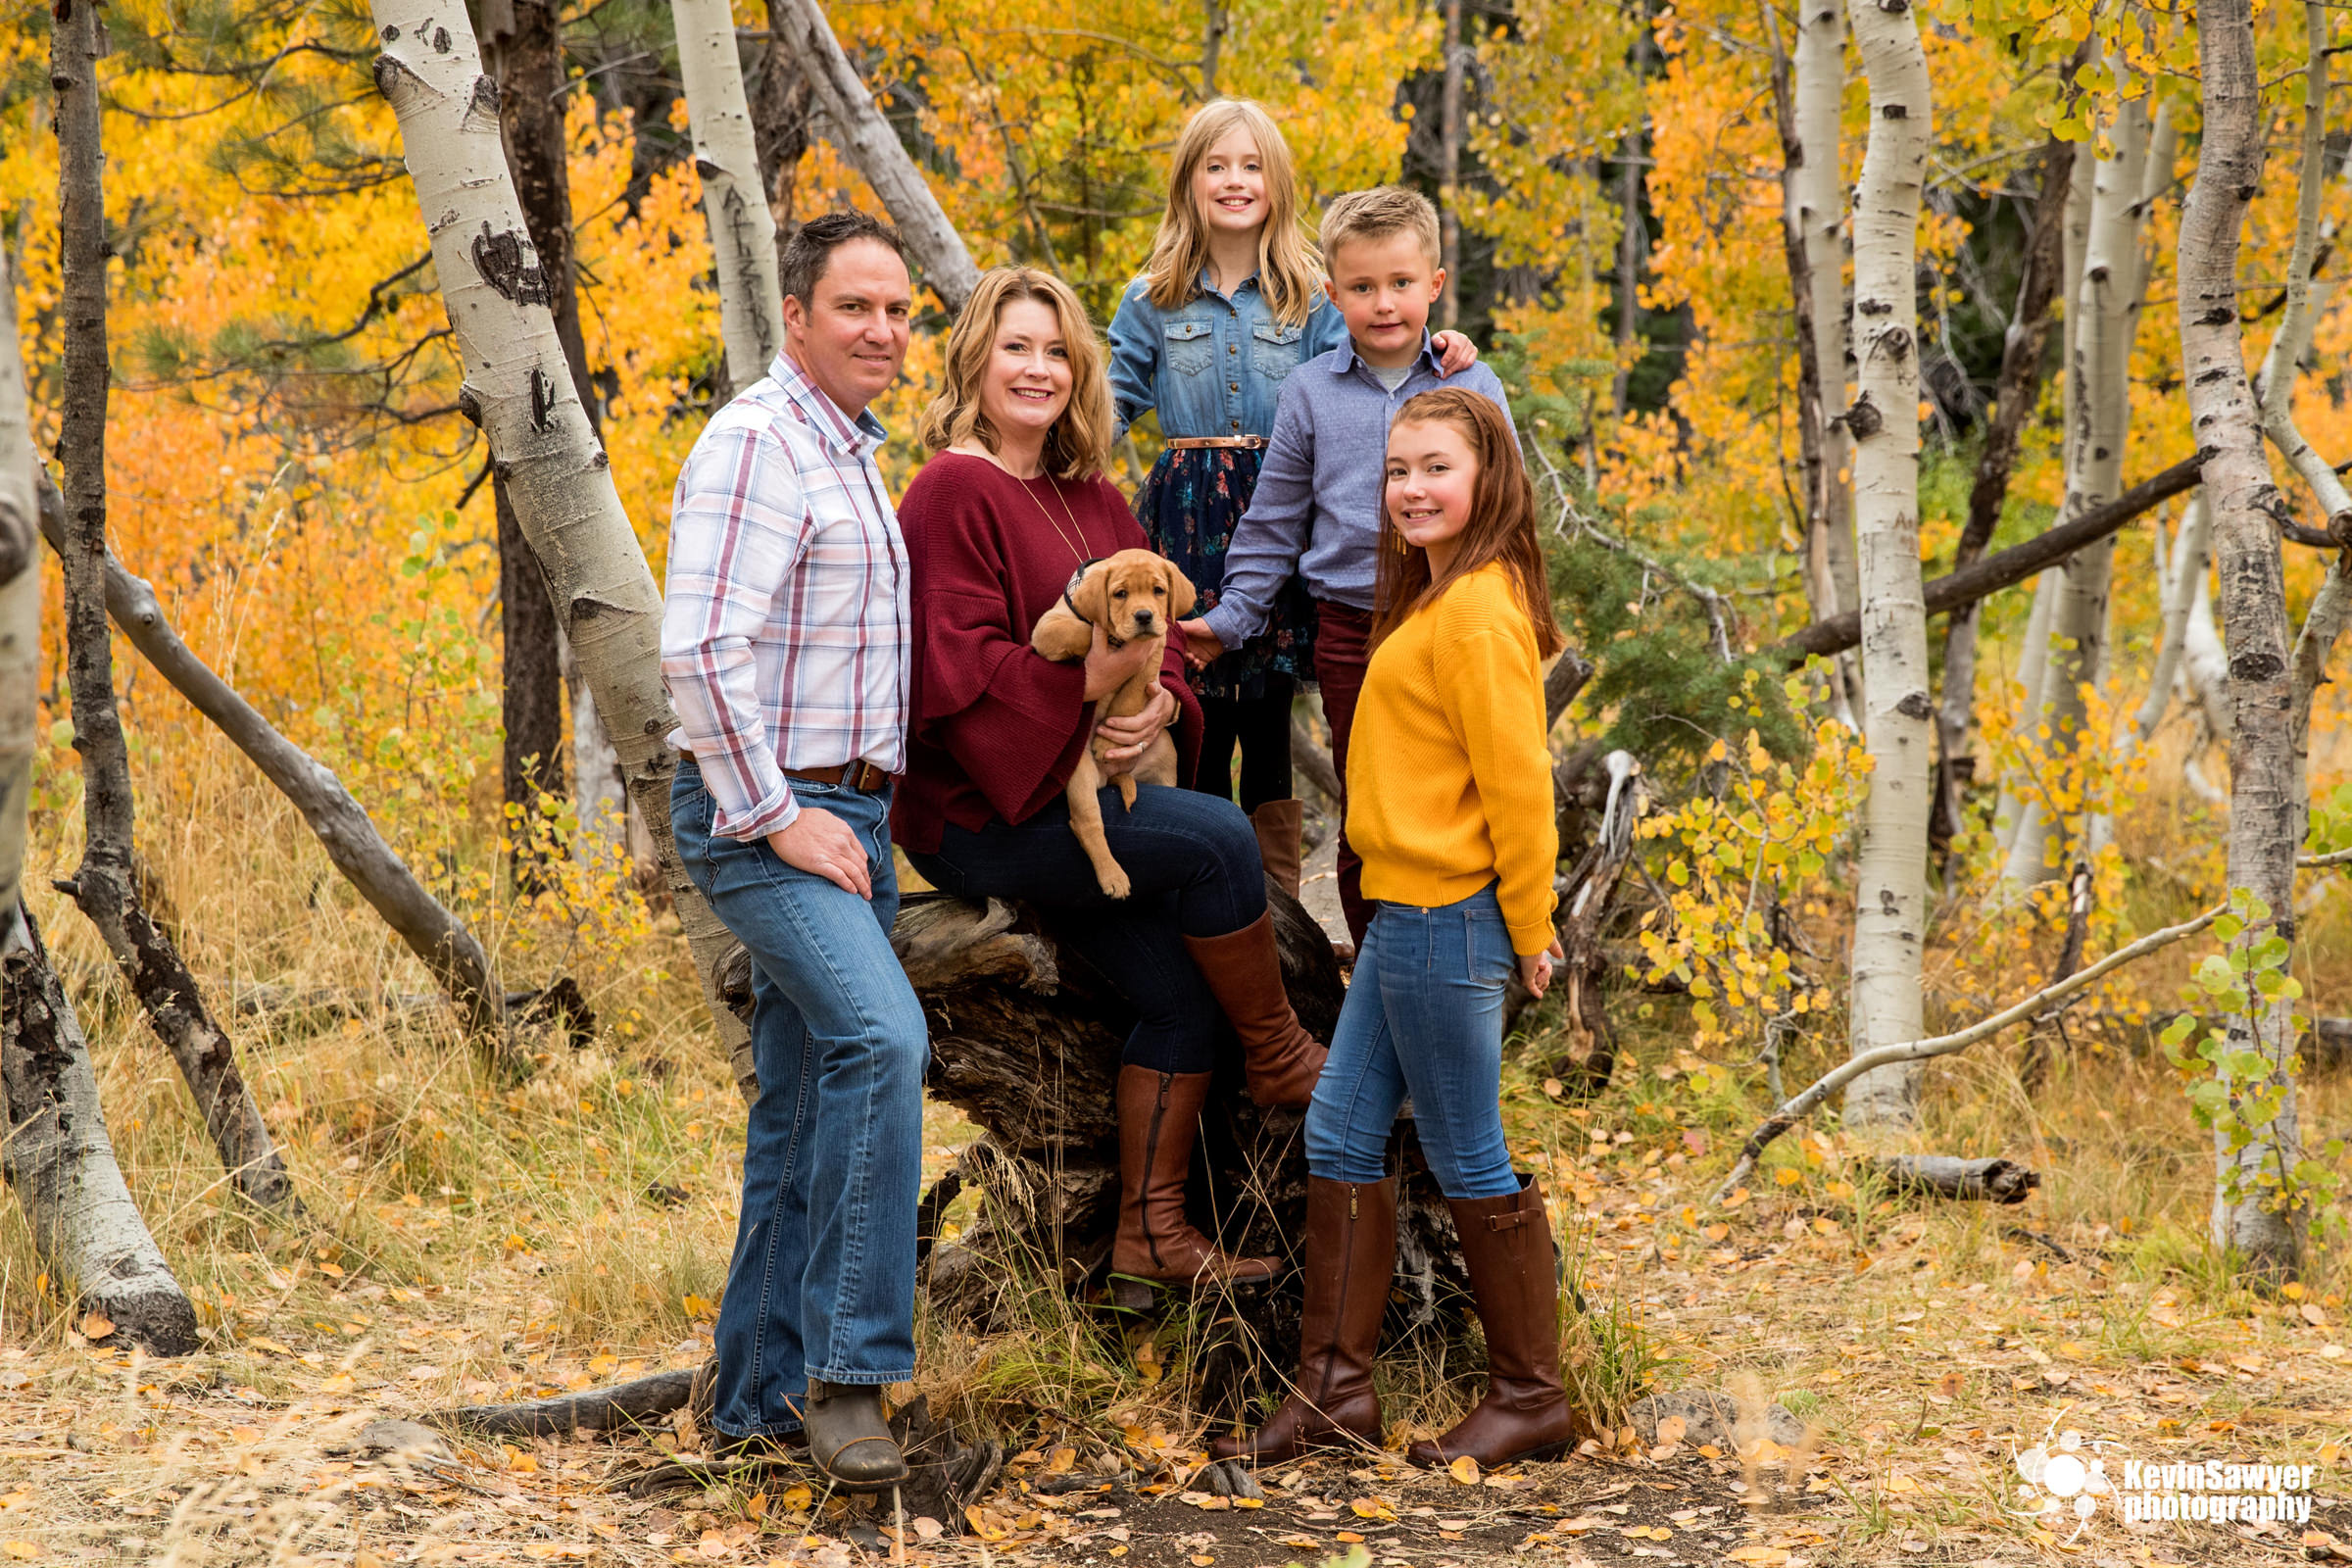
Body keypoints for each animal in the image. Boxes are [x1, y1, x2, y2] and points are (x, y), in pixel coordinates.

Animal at [1035, 550, 1195, 893]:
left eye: (1159, 591)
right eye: (1120, 594)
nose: (1145, 616)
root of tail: (1110, 777)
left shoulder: (1153, 653)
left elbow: (1131, 696)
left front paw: (1108, 738)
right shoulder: (1047, 629)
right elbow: (1083, 632)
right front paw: (1107, 636)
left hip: (1165, 763)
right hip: (1079, 776)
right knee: (1087, 824)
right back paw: (1113, 877)